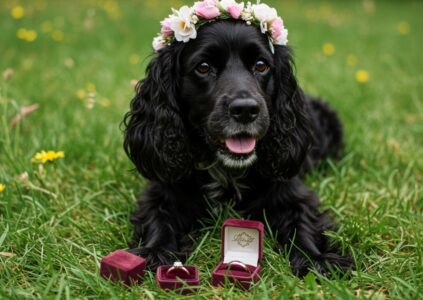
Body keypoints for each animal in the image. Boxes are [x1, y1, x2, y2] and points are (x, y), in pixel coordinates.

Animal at [123, 19, 354, 276]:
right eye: (203, 67)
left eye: (261, 65)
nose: (245, 110)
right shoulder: (163, 191)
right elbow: (160, 220)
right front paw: (154, 251)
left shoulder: (292, 194)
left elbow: (301, 224)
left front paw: (316, 258)